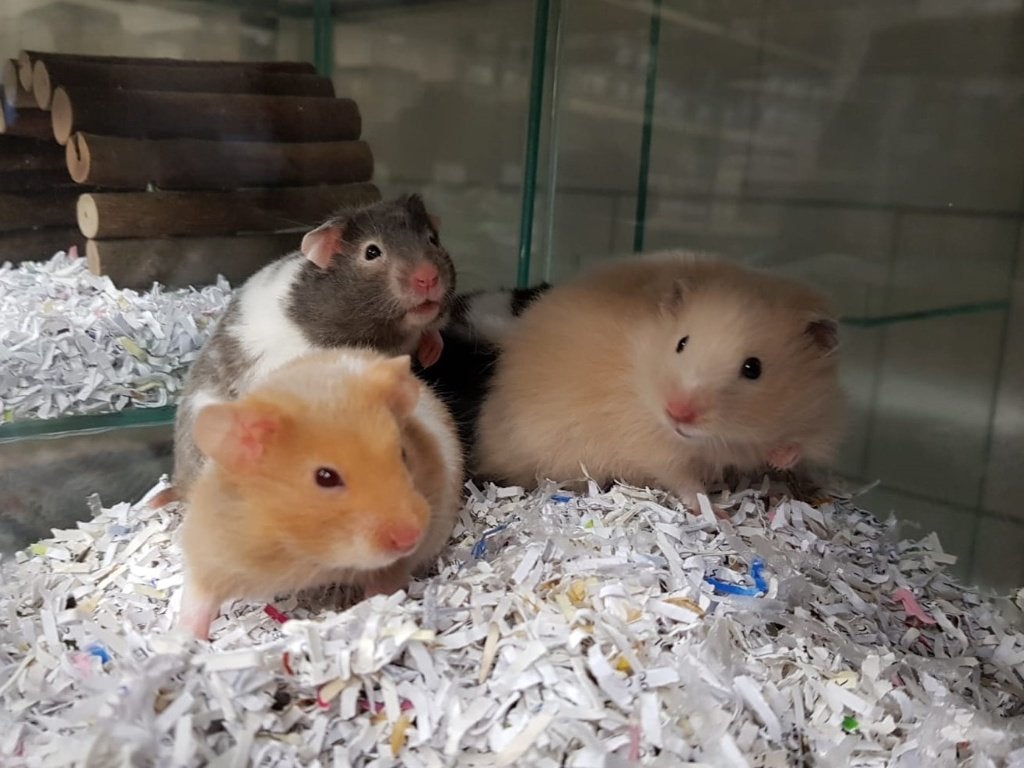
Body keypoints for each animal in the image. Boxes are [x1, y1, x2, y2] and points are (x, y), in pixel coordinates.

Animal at [177, 348, 464, 640]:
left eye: (404, 454)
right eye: (325, 477)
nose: (410, 538)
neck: (307, 553)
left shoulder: (394, 567)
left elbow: (381, 593)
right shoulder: (212, 552)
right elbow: (197, 599)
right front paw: (186, 640)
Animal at [475, 253, 844, 506]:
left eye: (753, 368)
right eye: (681, 343)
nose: (677, 413)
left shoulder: (820, 414)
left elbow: (798, 446)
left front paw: (778, 456)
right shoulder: (648, 441)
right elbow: (683, 480)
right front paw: (716, 514)